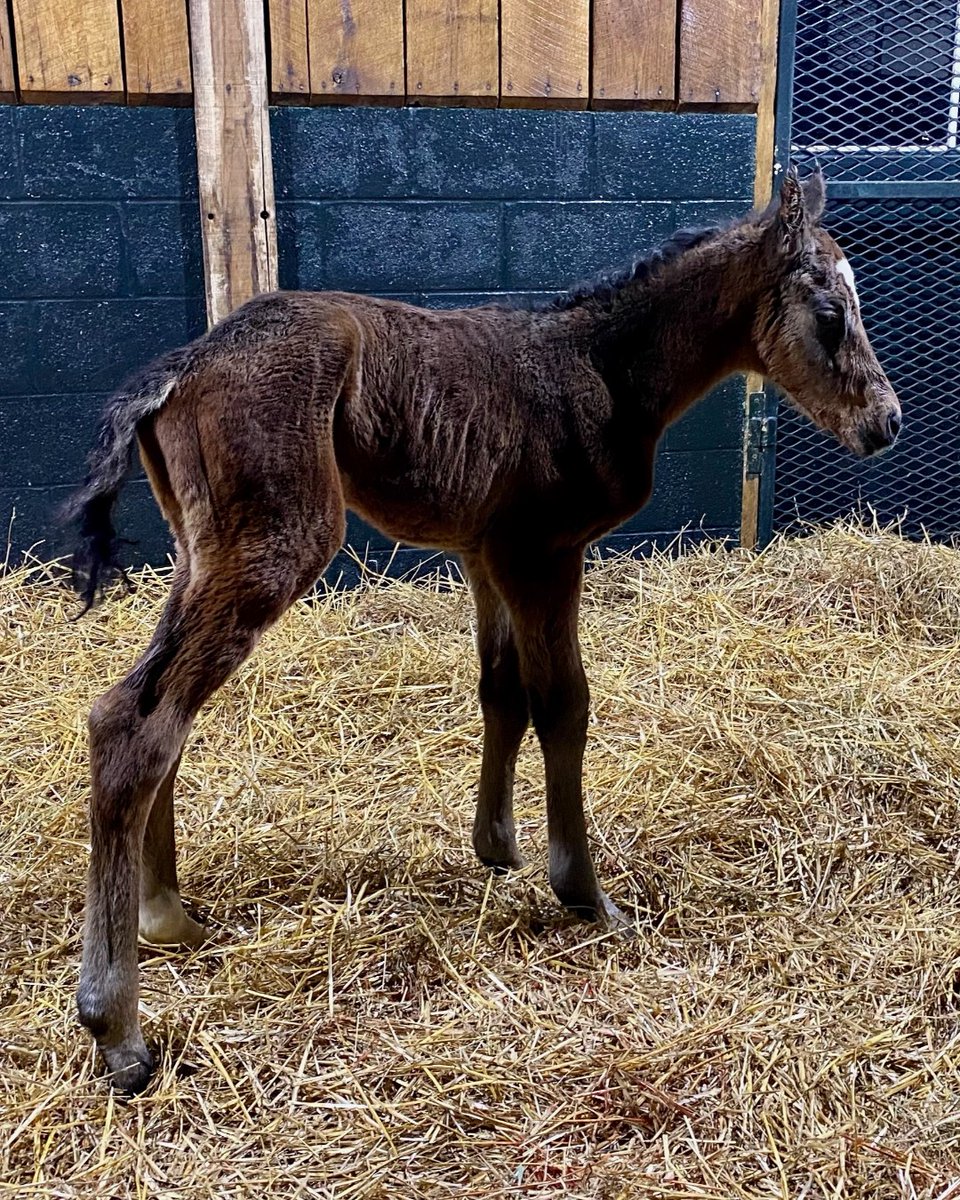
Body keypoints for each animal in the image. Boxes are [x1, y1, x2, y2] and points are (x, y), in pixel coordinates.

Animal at [67, 171, 902, 1099]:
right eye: (828, 312)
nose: (886, 423)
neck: (603, 371)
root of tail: (180, 367)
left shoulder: (484, 553)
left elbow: (501, 693)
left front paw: (497, 847)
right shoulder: (544, 552)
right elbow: (564, 705)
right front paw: (584, 892)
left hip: (199, 550)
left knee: (158, 713)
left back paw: (166, 914)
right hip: (275, 545)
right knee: (136, 721)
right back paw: (118, 1029)